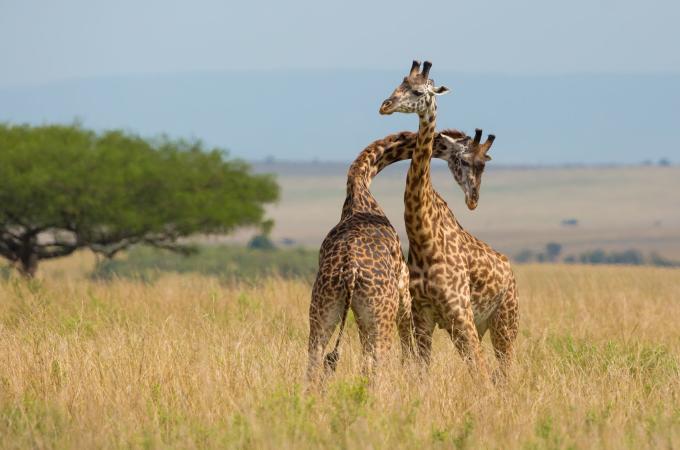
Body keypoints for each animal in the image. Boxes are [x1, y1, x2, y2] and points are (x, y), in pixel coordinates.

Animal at [306, 127, 495, 387]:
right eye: (466, 161)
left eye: (483, 165)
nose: (473, 199)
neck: (360, 187)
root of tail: (350, 271)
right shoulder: (405, 291)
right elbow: (408, 350)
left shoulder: (362, 314)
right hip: (381, 314)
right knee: (378, 360)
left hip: (324, 309)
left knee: (316, 360)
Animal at [379, 60, 518, 384]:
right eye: (398, 84)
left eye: (419, 91)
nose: (385, 105)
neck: (424, 237)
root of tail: (511, 272)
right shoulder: (423, 317)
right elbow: (421, 373)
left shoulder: (460, 315)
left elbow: (481, 373)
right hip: (479, 327)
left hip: (505, 323)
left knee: (504, 371)